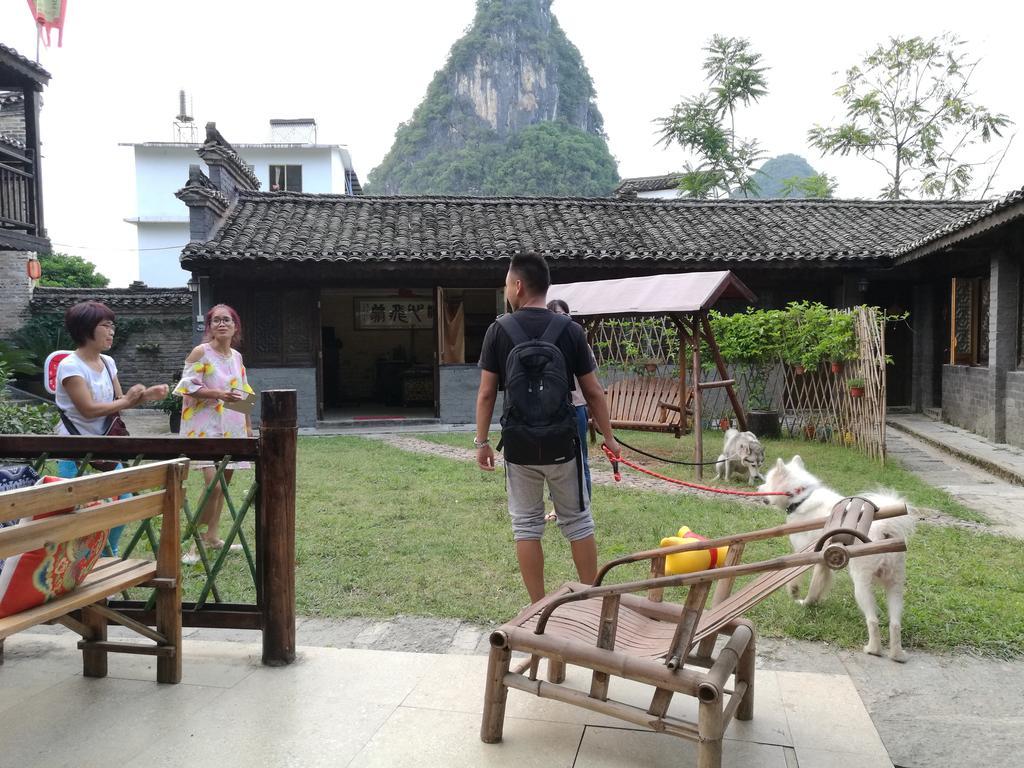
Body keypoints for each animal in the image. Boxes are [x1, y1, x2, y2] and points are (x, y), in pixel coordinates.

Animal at [757, 456, 917, 663]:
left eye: (767, 481)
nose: (758, 488)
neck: (801, 497)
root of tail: (885, 529)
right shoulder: (824, 562)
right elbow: (818, 585)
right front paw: (812, 602)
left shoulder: (804, 553)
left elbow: (798, 580)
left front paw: (799, 597)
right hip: (895, 586)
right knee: (895, 624)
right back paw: (897, 655)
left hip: (862, 586)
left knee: (873, 620)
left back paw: (873, 649)